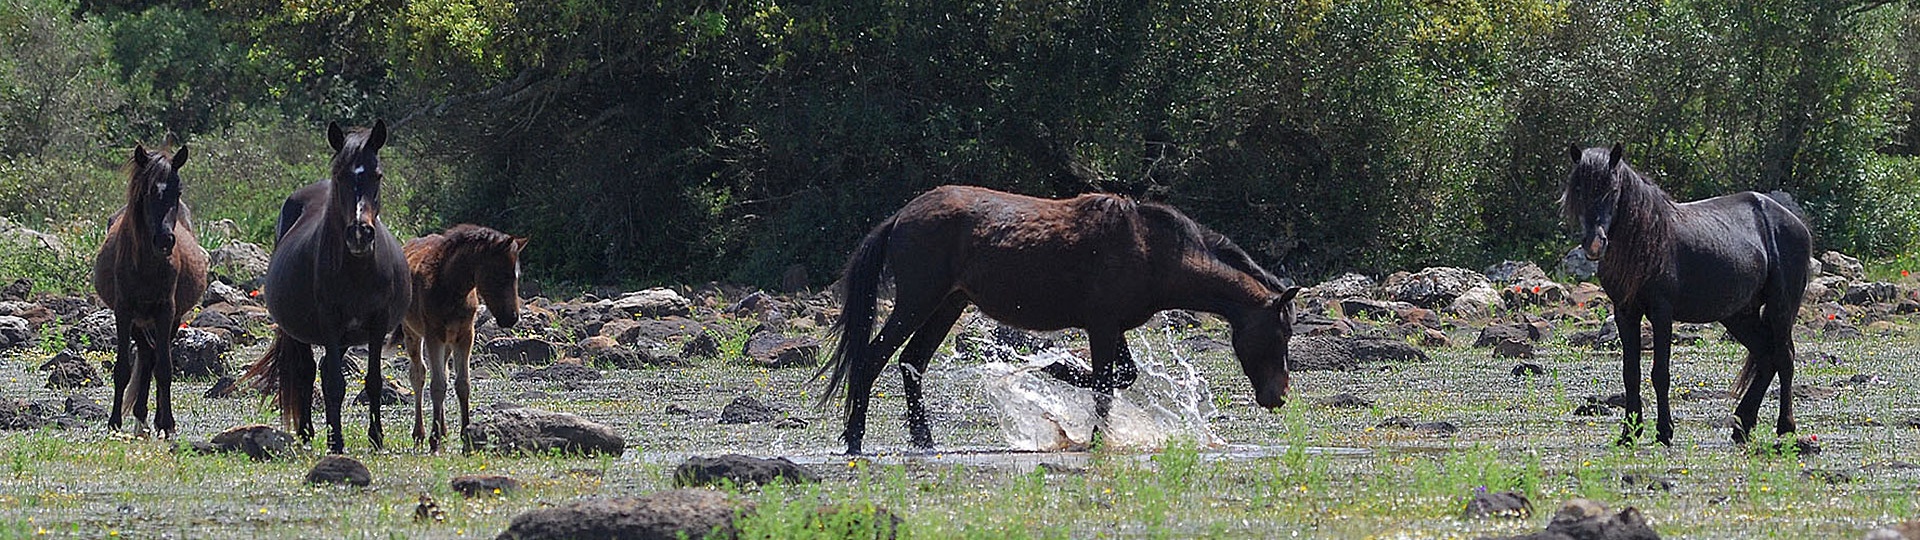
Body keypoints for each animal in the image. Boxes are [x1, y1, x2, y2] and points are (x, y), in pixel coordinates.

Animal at [92, 142, 208, 438]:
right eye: (147, 192)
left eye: (178, 191)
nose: (165, 240)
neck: (145, 262)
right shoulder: (123, 312)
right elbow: (122, 369)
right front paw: (114, 422)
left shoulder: (166, 311)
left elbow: (164, 369)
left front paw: (167, 424)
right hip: (138, 321)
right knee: (145, 355)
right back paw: (140, 417)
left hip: (169, 318)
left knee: (154, 358)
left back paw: (155, 419)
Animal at [243, 119, 412, 451]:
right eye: (340, 176)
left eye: (377, 175)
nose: (359, 234)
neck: (358, 270)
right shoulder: (330, 322)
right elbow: (334, 384)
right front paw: (337, 443)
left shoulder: (377, 323)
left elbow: (373, 381)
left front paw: (376, 438)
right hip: (299, 330)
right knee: (306, 371)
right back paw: (307, 432)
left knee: (319, 369)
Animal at [393, 222, 526, 449]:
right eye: (500, 275)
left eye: (517, 276)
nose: (511, 318)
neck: (450, 287)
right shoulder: (434, 336)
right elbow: (437, 386)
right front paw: (434, 439)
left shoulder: (465, 335)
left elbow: (462, 384)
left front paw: (466, 435)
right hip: (413, 334)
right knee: (418, 375)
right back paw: (420, 433)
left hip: (449, 341)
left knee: (443, 373)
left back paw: (444, 430)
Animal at [817, 184, 1297, 453]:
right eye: (1281, 332)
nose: (1278, 396)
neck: (1152, 251)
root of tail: (901, 216)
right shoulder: (1102, 327)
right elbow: (1106, 384)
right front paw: (1076, 405)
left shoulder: (1111, 327)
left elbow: (1118, 377)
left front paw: (1057, 375)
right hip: (918, 301)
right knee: (872, 359)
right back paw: (854, 438)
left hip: (946, 305)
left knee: (911, 362)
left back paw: (924, 441)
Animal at [1566, 142, 1804, 441]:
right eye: (1578, 189)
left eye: (1613, 188)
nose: (1595, 244)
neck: (1645, 241)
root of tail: (1795, 223)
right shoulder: (1625, 312)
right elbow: (1630, 373)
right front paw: (1629, 433)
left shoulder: (1661, 312)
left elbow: (1660, 373)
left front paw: (1664, 431)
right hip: (1739, 315)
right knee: (1766, 356)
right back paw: (1742, 425)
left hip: (1781, 307)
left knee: (1784, 357)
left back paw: (1785, 426)